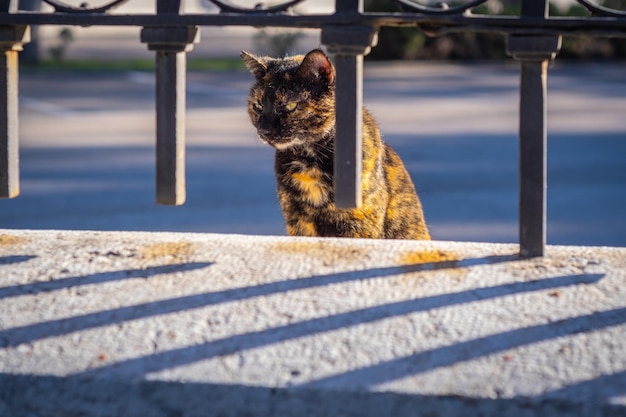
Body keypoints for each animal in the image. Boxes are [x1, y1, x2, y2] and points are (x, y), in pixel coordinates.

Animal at [240, 48, 428, 240]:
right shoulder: (298, 221)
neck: (310, 159)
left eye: (289, 106)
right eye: (258, 105)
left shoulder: (360, 223)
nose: (264, 130)